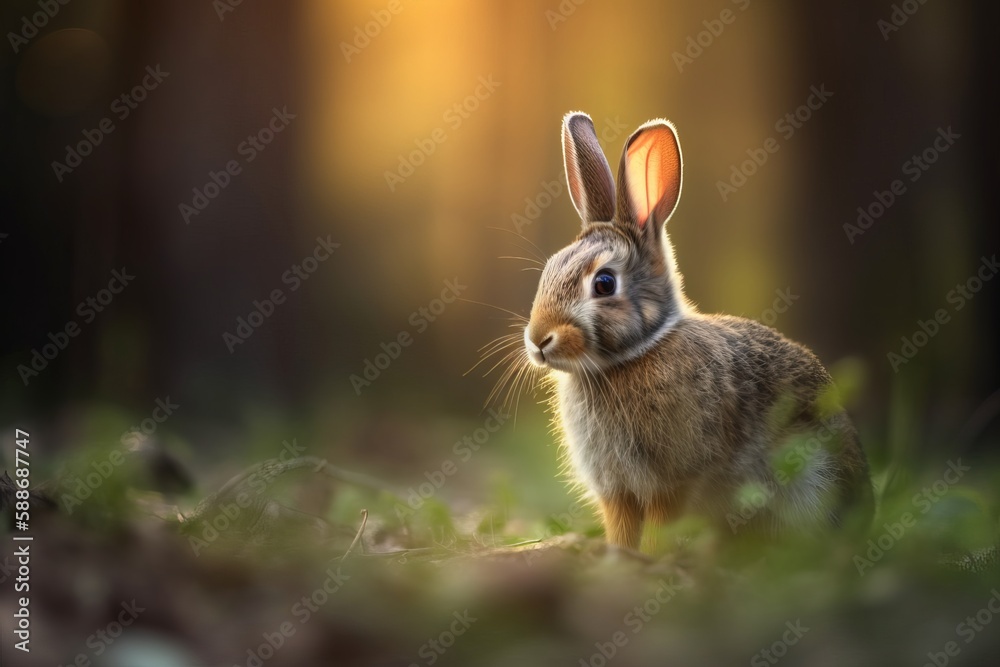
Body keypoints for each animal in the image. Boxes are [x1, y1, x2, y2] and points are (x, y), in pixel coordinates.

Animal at [523, 112, 873, 549]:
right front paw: (618, 558)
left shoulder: (673, 482)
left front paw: (651, 558)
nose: (538, 340)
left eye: (604, 283)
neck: (630, 358)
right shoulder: (616, 491)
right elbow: (622, 528)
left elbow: (661, 525)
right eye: (549, 270)